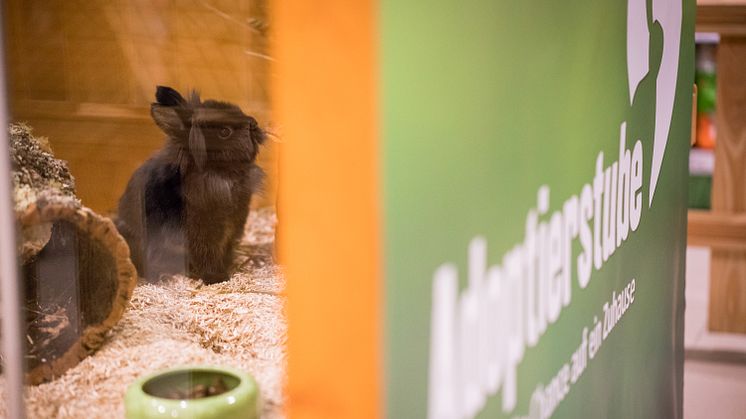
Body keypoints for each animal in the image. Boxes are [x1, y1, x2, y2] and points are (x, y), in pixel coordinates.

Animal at [116, 85, 264, 284]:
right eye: (224, 132)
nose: (253, 123)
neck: (219, 173)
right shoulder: (201, 235)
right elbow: (207, 256)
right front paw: (217, 278)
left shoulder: (231, 232)